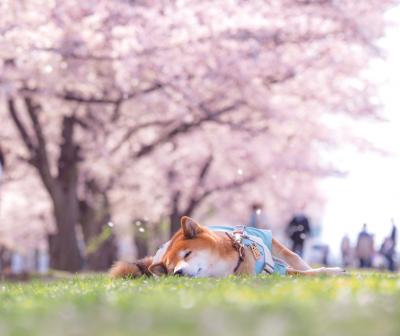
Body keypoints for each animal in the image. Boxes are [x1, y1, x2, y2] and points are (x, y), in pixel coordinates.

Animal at [111, 215, 346, 278]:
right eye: (170, 268)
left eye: (187, 254)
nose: (177, 272)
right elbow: (299, 273)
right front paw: (330, 272)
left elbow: (300, 265)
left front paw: (330, 270)